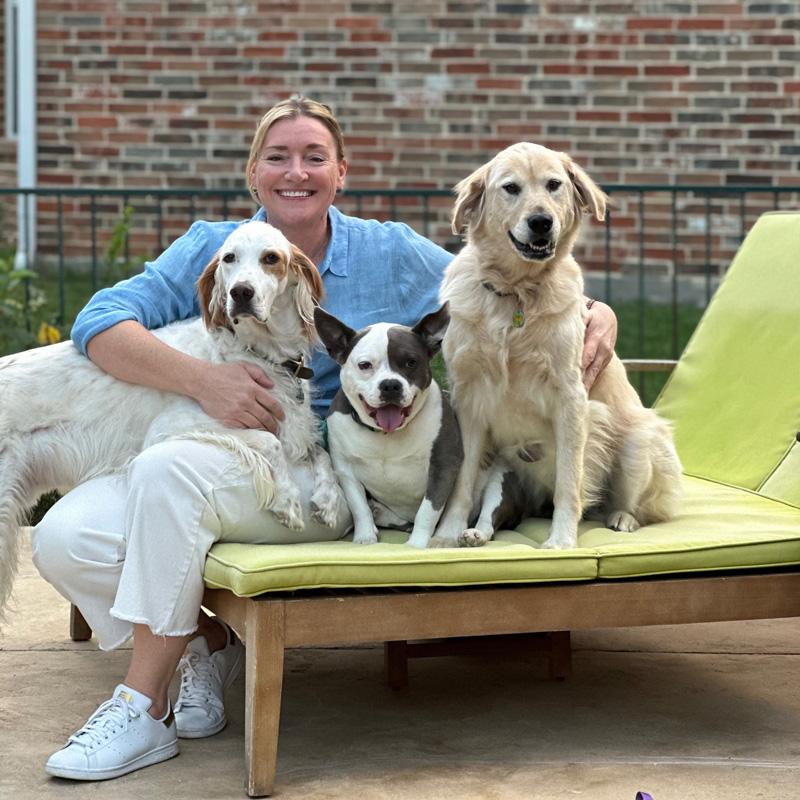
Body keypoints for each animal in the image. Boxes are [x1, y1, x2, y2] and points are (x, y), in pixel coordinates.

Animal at [314, 302, 462, 552]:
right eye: (365, 365)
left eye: (411, 362)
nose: (390, 385)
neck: (385, 434)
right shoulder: (345, 469)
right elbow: (358, 506)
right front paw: (365, 537)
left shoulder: (443, 466)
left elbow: (427, 511)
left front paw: (417, 544)